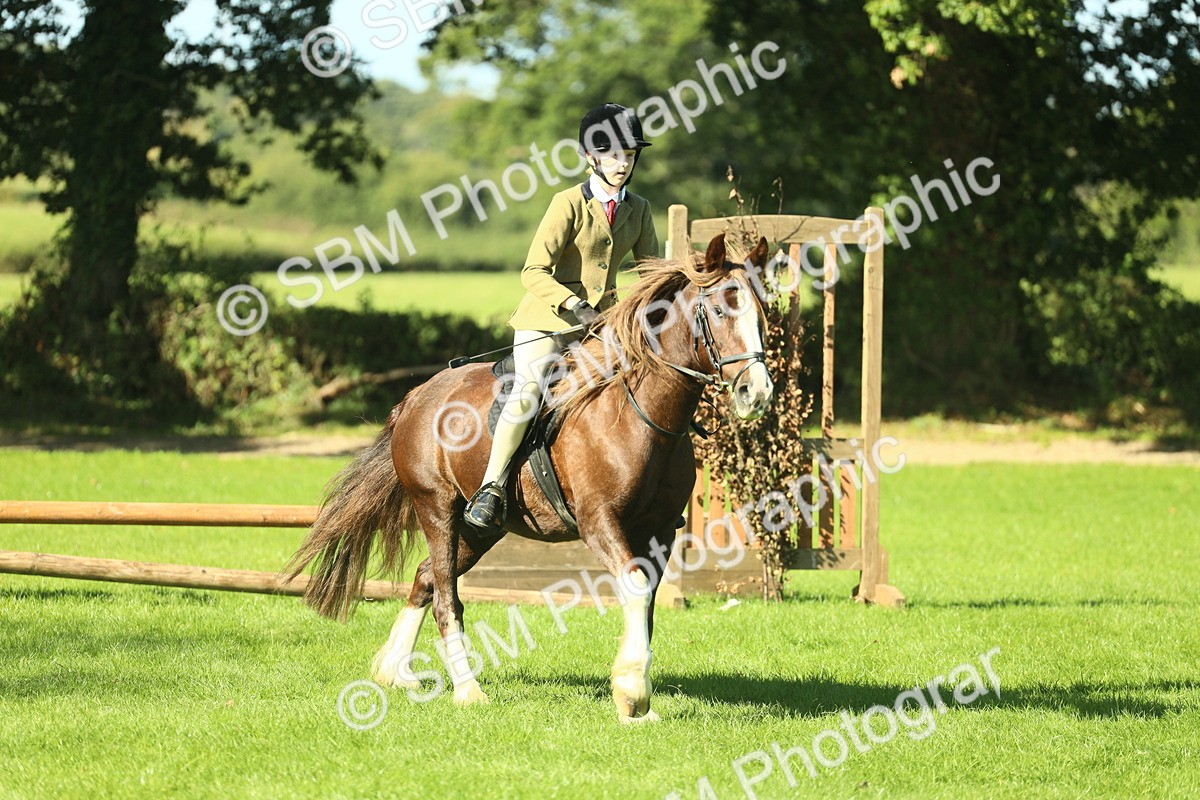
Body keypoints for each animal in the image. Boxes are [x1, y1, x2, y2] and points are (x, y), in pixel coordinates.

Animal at [285, 233, 775, 723]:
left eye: (763, 312)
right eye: (719, 312)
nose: (757, 394)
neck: (643, 414)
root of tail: (415, 397)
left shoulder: (659, 531)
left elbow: (647, 600)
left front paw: (638, 701)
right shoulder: (600, 521)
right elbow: (635, 587)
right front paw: (631, 694)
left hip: (482, 528)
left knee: (426, 577)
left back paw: (394, 670)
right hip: (436, 507)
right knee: (445, 595)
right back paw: (468, 691)